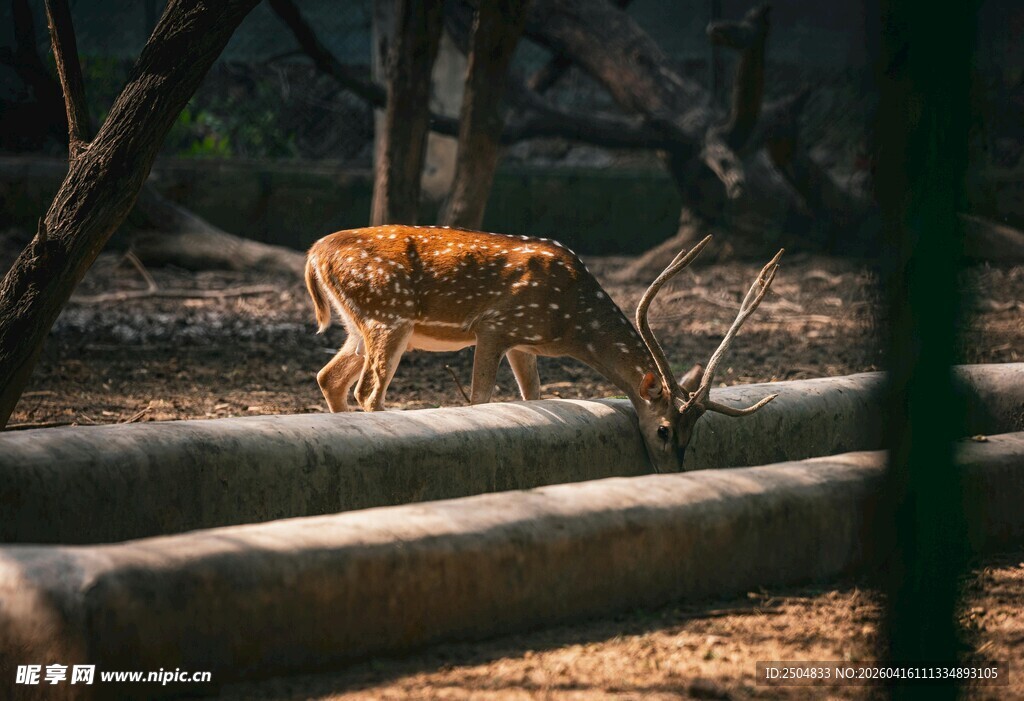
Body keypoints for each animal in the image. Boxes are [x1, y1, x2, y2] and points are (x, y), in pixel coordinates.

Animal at [304, 225, 783, 473]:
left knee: (329, 377)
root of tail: (314, 254)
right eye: (665, 430)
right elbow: (480, 399)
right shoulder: (494, 326)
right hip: (389, 315)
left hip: (357, 324)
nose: (674, 471)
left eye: (692, 435)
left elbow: (531, 396)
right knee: (368, 390)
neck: (568, 323)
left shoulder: (524, 342)